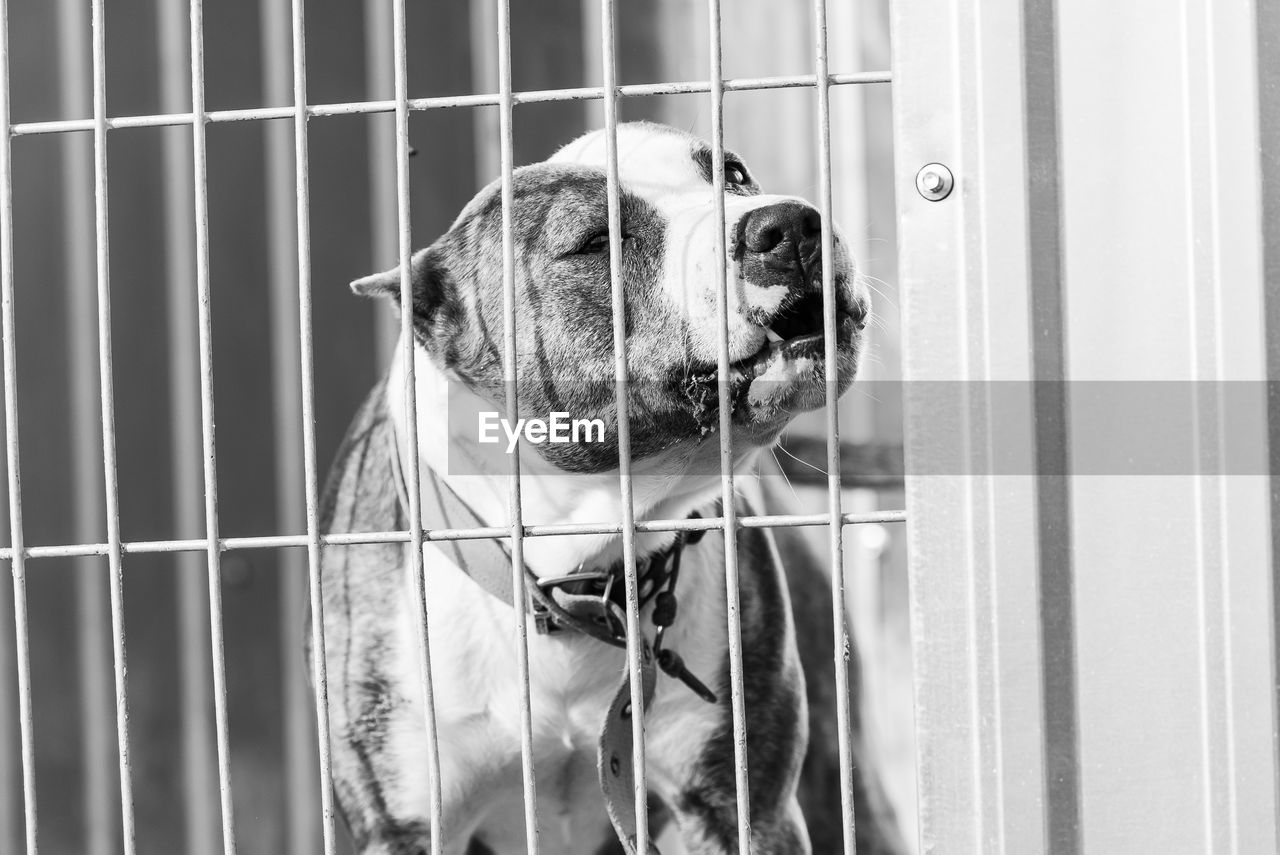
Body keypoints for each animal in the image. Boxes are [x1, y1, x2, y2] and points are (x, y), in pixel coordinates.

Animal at [314, 121, 906, 855]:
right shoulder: (405, 824)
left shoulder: (744, 807)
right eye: (597, 241)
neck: (579, 571)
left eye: (735, 175)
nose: (789, 224)